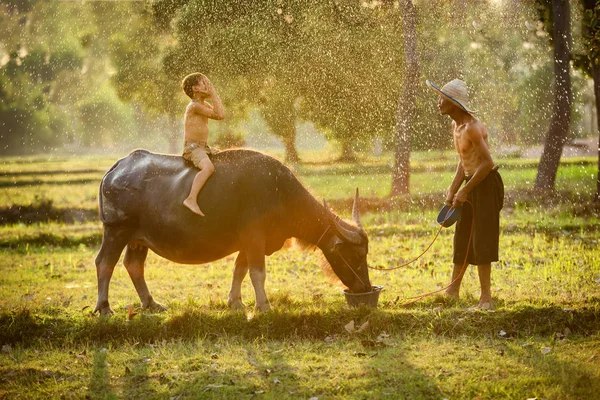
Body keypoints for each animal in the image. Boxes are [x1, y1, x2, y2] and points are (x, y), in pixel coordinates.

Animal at [95, 148, 370, 314]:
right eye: (355, 255)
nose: (365, 287)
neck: (280, 193)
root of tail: (117, 168)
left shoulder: (247, 243)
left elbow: (240, 269)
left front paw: (235, 302)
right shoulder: (255, 238)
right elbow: (258, 273)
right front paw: (264, 306)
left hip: (138, 239)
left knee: (134, 265)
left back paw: (151, 304)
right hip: (116, 230)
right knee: (105, 263)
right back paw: (104, 307)